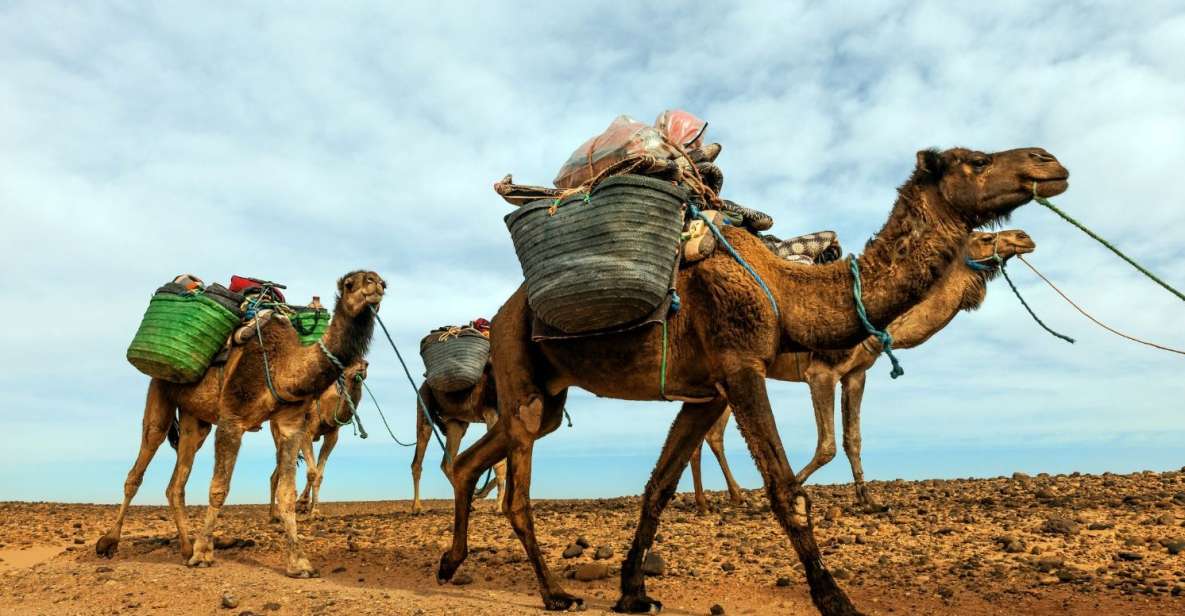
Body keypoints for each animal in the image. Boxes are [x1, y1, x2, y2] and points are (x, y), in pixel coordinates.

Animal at [270, 355, 369, 518]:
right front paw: (302, 502)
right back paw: (274, 515)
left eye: (367, 363)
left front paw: (314, 511)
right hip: (278, 432)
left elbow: (319, 474)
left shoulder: (332, 435)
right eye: (349, 362)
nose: (362, 365)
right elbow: (312, 472)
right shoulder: (306, 431)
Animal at [410, 364, 507, 514]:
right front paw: (499, 506)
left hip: (457, 422)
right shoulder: (492, 412)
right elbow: (500, 463)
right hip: (425, 406)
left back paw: (469, 502)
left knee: (447, 463)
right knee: (418, 459)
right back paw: (417, 507)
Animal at [687, 228, 1038, 511]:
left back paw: (714, 501)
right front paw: (776, 495)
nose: (1024, 237)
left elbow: (852, 439)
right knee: (711, 436)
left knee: (708, 436)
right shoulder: (822, 373)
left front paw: (868, 500)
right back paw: (721, 501)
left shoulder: (856, 374)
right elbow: (827, 446)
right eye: (986, 237)